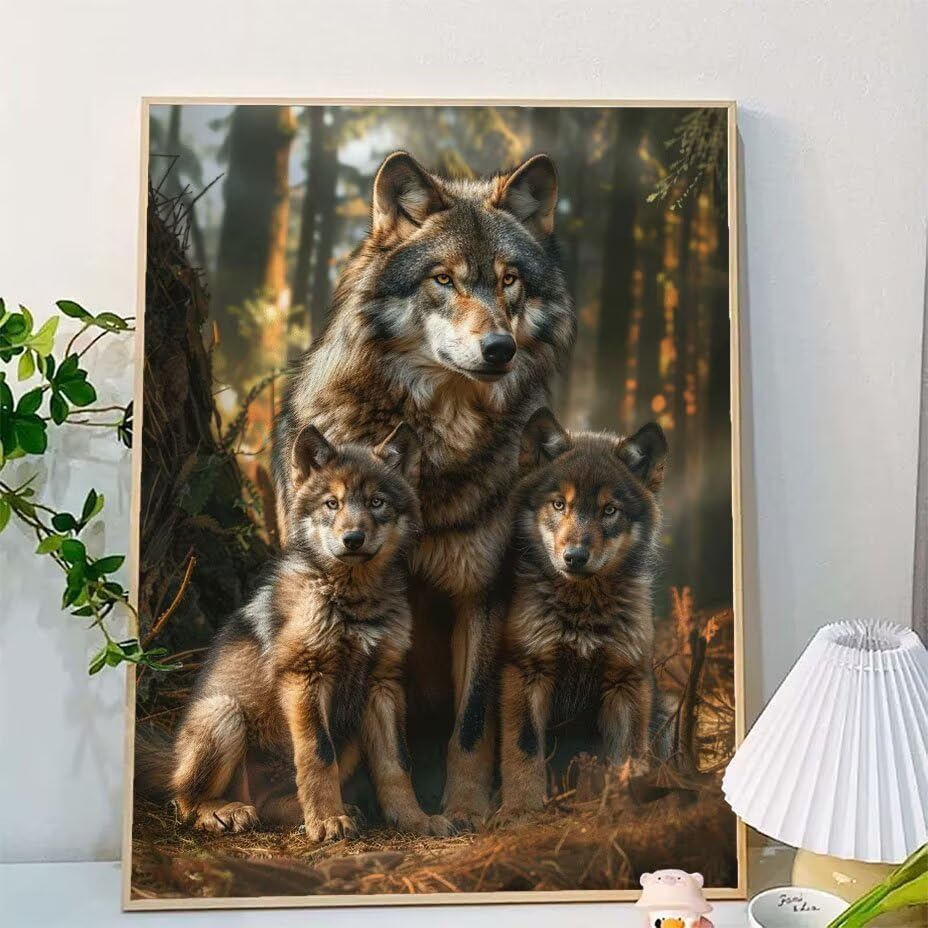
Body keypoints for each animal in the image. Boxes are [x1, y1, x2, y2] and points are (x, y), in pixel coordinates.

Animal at [170, 422, 451, 840]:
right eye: (332, 504)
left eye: (377, 503)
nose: (353, 539)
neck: (351, 602)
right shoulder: (304, 676)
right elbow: (318, 755)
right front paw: (327, 821)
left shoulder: (383, 684)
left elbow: (396, 764)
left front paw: (415, 819)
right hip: (224, 712)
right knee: (183, 800)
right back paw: (222, 812)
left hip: (349, 730)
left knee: (270, 804)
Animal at [272, 151, 575, 825]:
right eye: (444, 279)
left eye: (509, 280)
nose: (499, 348)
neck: (434, 450)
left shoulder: (483, 592)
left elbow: (473, 722)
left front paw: (462, 808)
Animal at [498, 408, 668, 818]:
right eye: (560, 504)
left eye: (609, 510)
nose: (574, 556)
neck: (582, 612)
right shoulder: (526, 671)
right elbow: (524, 750)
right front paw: (521, 812)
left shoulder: (626, 680)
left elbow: (628, 757)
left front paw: (626, 808)